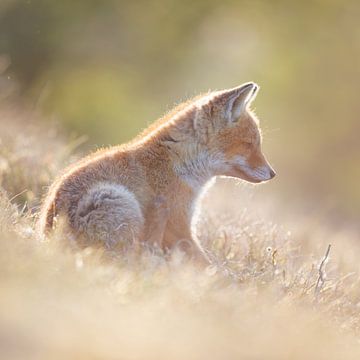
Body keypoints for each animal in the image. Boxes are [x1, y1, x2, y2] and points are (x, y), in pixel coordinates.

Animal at [38, 82, 276, 250]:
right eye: (249, 144)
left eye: (257, 144)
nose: (273, 173)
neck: (177, 163)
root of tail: (48, 238)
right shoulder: (179, 225)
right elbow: (211, 266)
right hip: (118, 200)